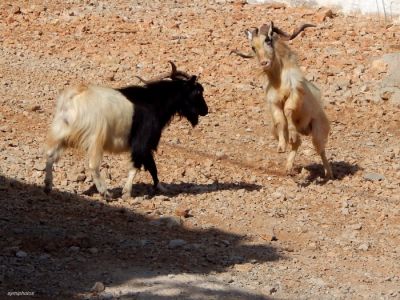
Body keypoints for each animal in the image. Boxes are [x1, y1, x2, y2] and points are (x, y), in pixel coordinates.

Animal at [43, 62, 208, 199]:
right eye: (197, 92)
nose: (205, 111)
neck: (154, 101)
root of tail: (74, 98)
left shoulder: (146, 146)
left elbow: (152, 166)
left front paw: (160, 187)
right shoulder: (142, 140)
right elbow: (138, 166)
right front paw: (127, 193)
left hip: (62, 133)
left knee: (50, 156)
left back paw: (48, 186)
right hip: (94, 138)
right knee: (93, 166)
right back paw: (105, 193)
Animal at [233, 22, 332, 178]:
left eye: (268, 40)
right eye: (253, 47)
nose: (264, 63)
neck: (278, 81)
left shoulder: (294, 95)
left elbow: (288, 110)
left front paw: (291, 134)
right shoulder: (274, 103)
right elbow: (280, 121)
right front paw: (281, 146)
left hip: (318, 129)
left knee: (320, 149)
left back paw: (328, 174)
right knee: (298, 144)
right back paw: (288, 167)